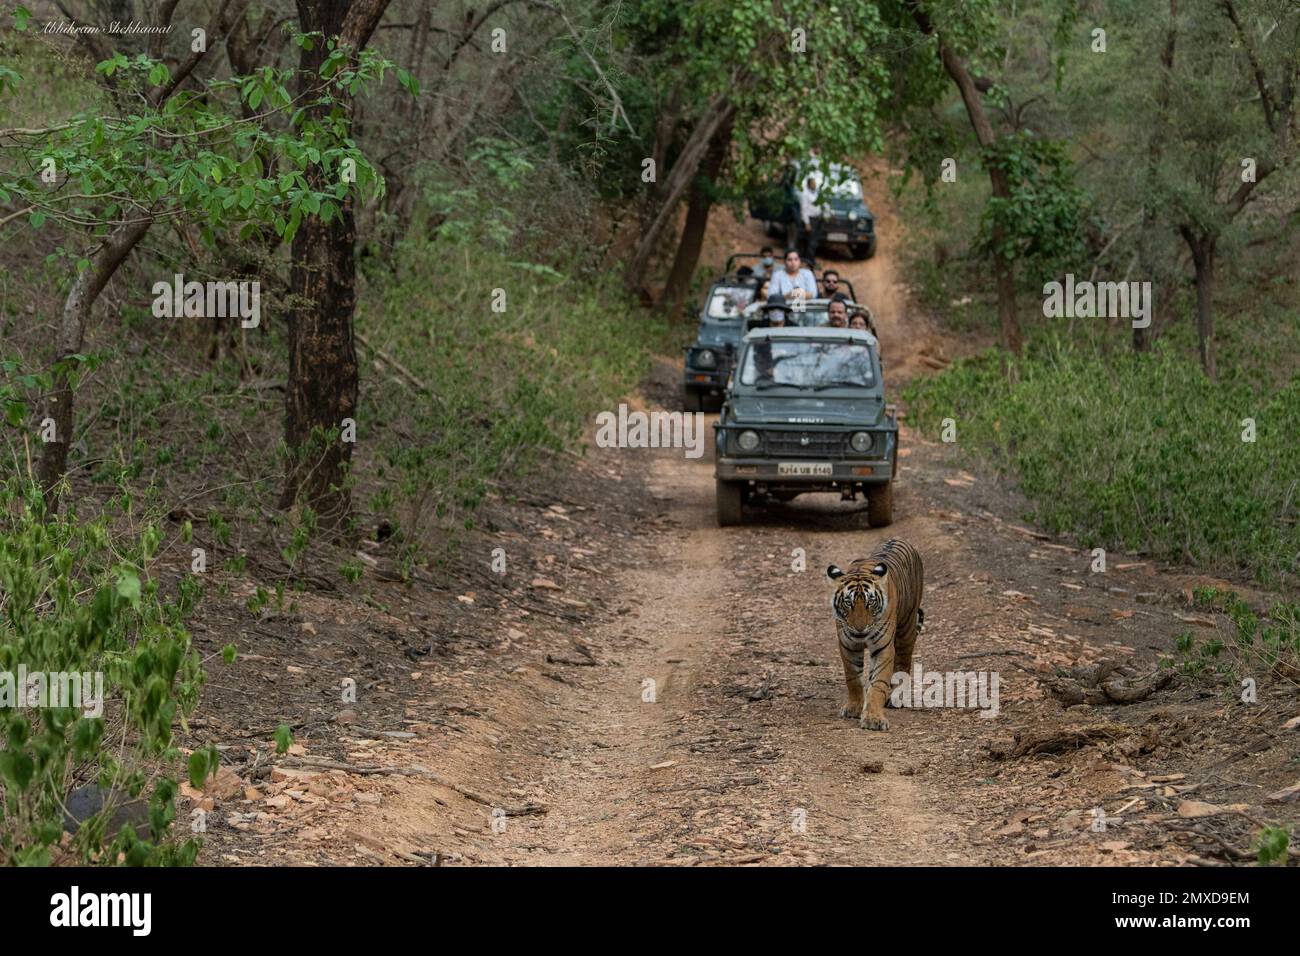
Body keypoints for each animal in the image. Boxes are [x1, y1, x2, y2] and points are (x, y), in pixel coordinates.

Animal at [826, 538, 925, 731]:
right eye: (848, 602)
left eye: (870, 602)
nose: (859, 629)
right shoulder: (848, 645)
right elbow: (854, 679)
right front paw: (855, 708)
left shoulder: (883, 647)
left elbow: (878, 683)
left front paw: (874, 718)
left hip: (906, 629)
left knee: (903, 663)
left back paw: (897, 697)